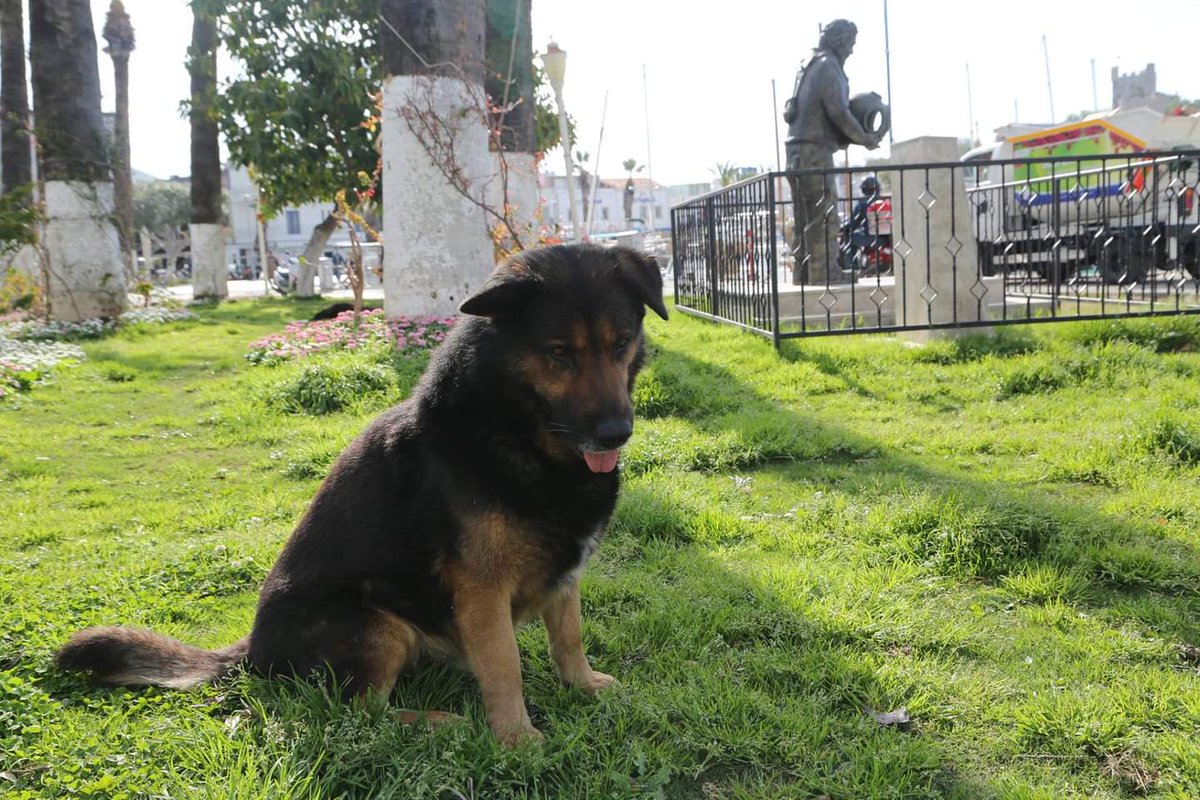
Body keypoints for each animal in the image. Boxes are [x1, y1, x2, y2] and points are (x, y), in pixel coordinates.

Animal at [56, 242, 672, 743]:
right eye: (559, 353)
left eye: (621, 343)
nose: (615, 433)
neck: (516, 429)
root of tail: (253, 655)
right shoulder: (482, 591)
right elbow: (505, 666)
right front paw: (518, 740)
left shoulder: (563, 572)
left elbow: (569, 637)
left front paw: (583, 686)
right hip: (378, 625)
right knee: (360, 713)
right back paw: (439, 723)